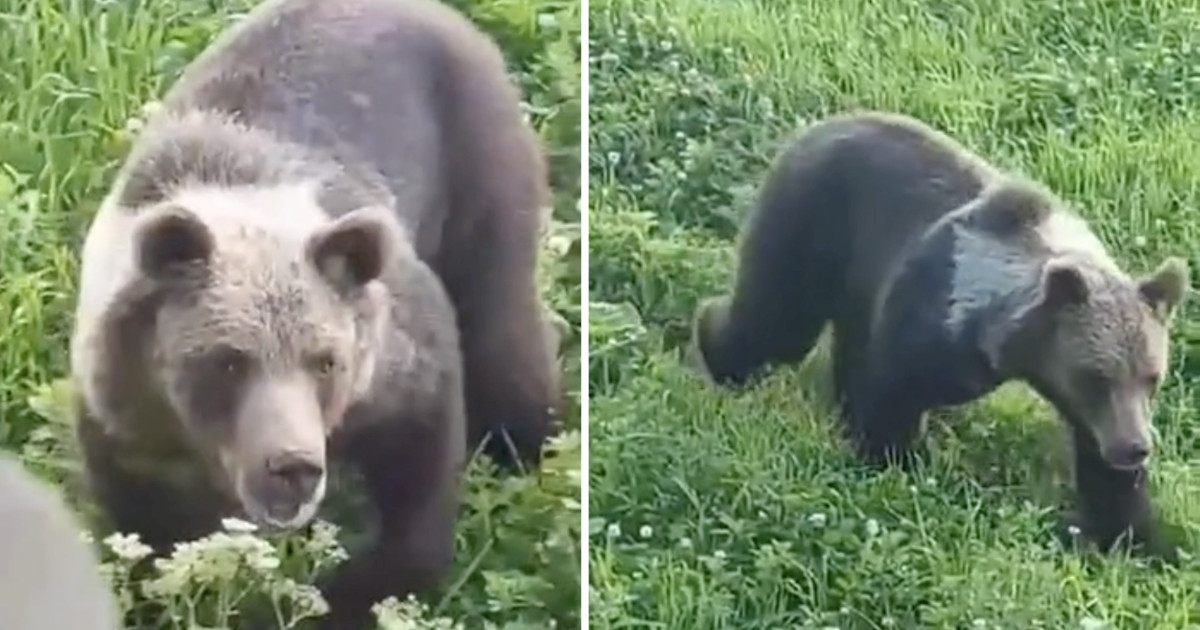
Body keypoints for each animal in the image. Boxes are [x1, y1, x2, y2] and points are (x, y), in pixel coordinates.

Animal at [70, 0, 561, 624]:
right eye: (228, 361)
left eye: (326, 361)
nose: (293, 467)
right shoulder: (128, 426)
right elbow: (149, 536)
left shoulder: (393, 365)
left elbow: (419, 463)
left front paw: (351, 590)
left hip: (480, 172)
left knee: (502, 335)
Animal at [696, 111, 1190, 559]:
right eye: (1096, 376)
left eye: (1152, 377)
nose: (1135, 448)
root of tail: (818, 126)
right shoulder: (931, 322)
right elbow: (890, 391)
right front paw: (889, 461)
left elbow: (1101, 468)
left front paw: (1126, 538)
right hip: (812, 225)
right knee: (776, 323)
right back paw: (714, 352)